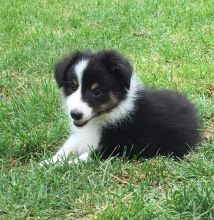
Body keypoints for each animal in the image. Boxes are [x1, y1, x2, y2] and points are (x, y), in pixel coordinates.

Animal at [40, 49, 201, 165]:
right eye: (73, 86)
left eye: (97, 92)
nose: (75, 114)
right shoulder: (80, 135)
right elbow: (66, 147)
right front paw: (46, 163)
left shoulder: (118, 147)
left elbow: (82, 158)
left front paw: (58, 167)